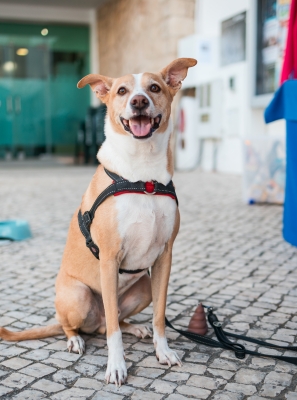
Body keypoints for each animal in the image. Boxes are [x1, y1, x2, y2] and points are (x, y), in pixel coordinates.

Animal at [0, 57, 197, 386]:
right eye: (122, 91)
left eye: (154, 88)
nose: (139, 101)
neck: (143, 177)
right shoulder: (109, 257)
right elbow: (113, 333)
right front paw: (116, 366)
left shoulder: (164, 258)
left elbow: (159, 315)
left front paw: (163, 351)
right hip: (78, 297)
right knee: (86, 325)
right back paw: (75, 340)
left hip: (144, 286)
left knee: (111, 320)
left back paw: (135, 327)